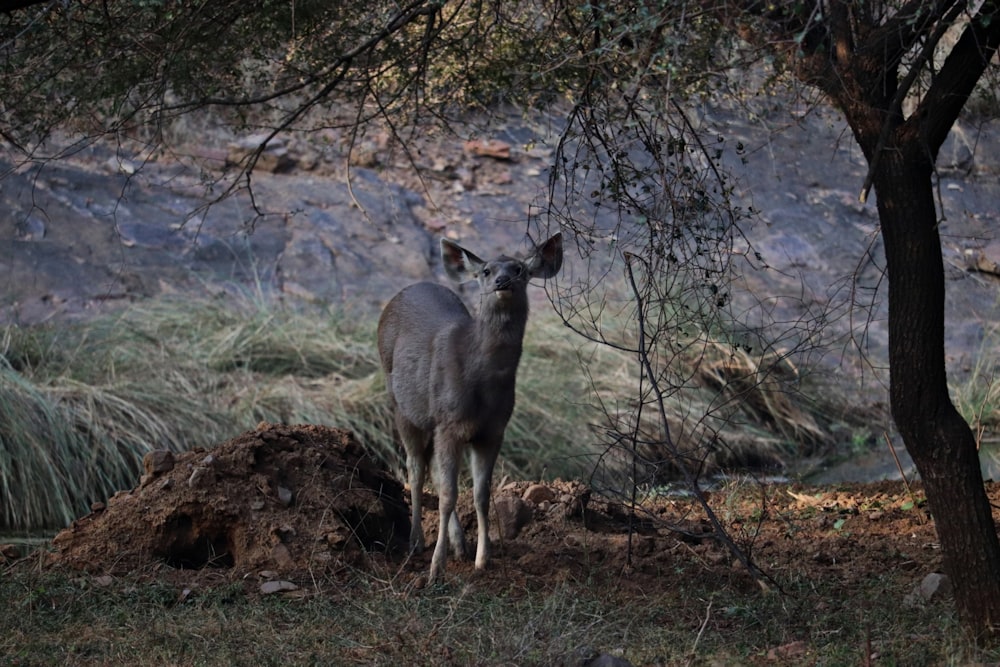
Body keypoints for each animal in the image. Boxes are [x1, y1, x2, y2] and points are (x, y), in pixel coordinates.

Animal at [376, 235, 564, 584]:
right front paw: (436, 568)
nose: (502, 281)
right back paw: (416, 541)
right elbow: (449, 496)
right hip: (401, 404)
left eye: (519, 268)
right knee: (416, 468)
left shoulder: (493, 430)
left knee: (433, 469)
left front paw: (482, 559)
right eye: (487, 270)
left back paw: (458, 544)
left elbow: (481, 494)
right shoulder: (449, 422)